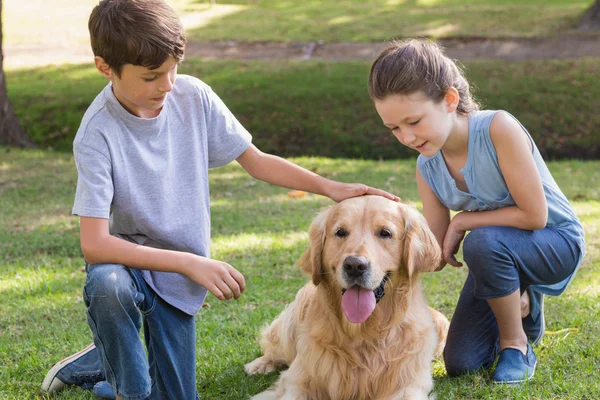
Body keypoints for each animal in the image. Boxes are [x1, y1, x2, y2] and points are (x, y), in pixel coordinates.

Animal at [245, 195, 450, 398]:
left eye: (385, 233)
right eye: (340, 232)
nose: (355, 266)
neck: (363, 333)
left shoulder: (408, 385)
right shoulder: (297, 381)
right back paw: (259, 364)